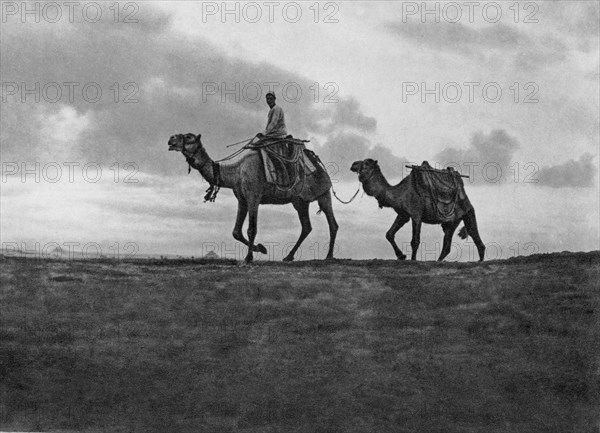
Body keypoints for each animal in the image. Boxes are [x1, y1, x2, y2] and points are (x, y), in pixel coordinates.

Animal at [169, 132, 338, 262]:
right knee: (307, 226)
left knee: (332, 223)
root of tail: (319, 165)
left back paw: (329, 256)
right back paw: (289, 256)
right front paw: (261, 248)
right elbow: (236, 232)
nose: (171, 139)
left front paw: (248, 258)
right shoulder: (242, 200)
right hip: (300, 201)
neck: (237, 172)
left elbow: (251, 228)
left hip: (323, 194)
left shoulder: (253, 196)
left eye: (189, 136)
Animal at [350, 158, 486, 260]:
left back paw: (480, 260)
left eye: (366, 163)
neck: (399, 193)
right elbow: (389, 234)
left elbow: (414, 241)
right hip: (452, 221)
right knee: (447, 242)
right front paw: (401, 256)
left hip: (466, 210)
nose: (353, 164)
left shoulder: (416, 214)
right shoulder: (403, 214)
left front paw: (413, 259)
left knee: (472, 231)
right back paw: (437, 261)